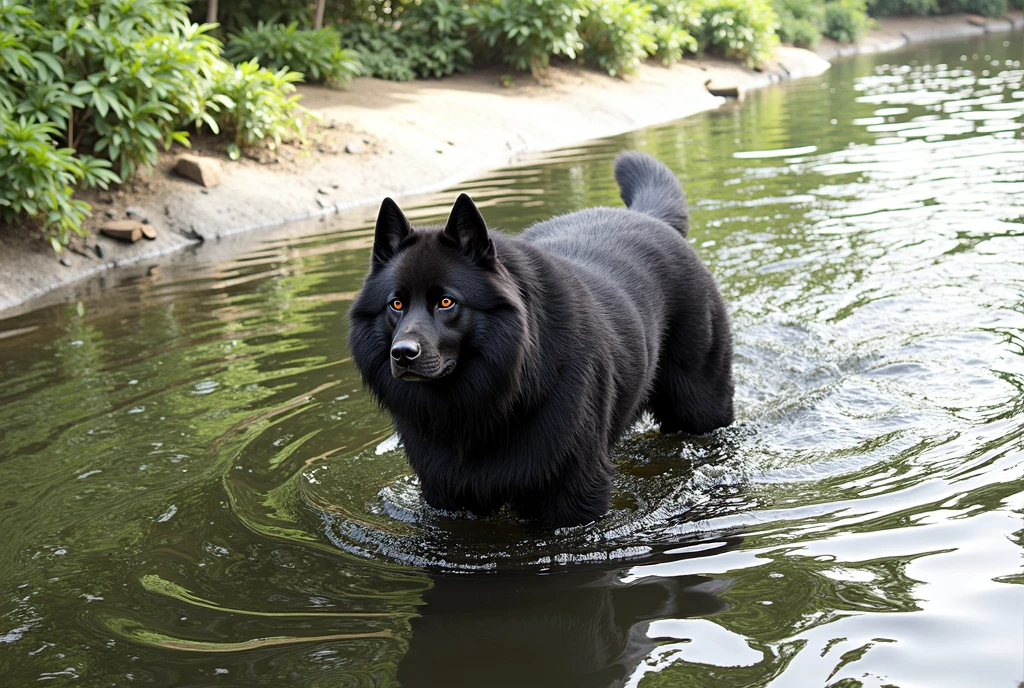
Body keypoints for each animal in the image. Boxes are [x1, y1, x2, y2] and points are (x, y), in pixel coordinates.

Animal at [348, 151, 733, 528]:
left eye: (446, 302)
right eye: (396, 304)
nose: (402, 353)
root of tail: (648, 217)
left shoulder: (573, 494)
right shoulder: (446, 494)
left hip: (700, 407)